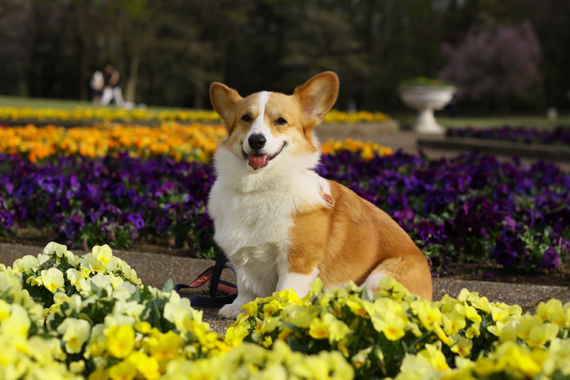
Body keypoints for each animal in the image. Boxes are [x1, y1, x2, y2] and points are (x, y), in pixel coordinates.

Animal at [209, 72, 430, 318]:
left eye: (280, 121)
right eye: (246, 118)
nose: (256, 140)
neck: (257, 186)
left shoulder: (298, 261)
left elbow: (285, 291)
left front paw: (279, 314)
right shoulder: (241, 258)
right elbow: (245, 286)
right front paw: (239, 307)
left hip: (383, 277)